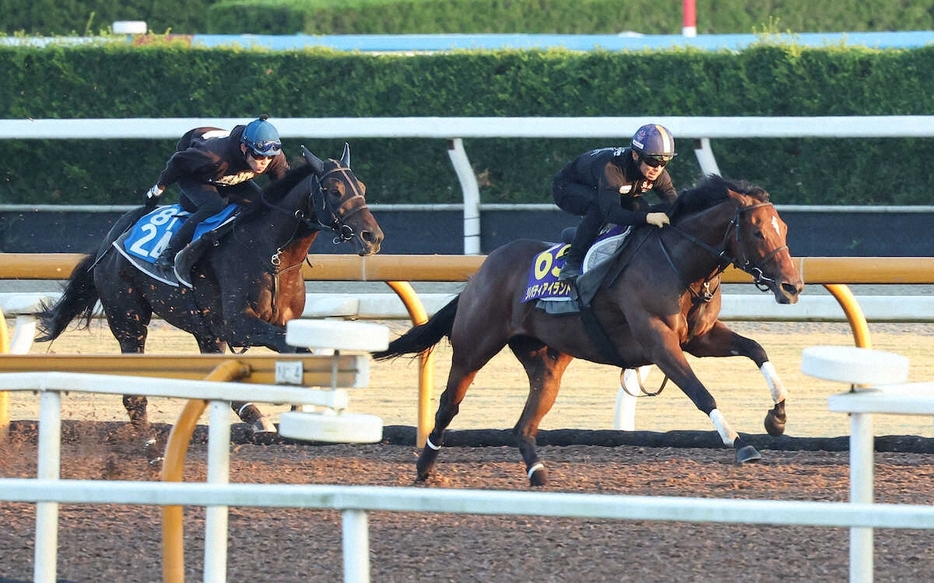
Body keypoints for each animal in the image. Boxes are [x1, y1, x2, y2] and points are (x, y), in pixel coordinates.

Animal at [36, 145, 380, 438]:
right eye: (334, 190)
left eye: (362, 188)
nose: (372, 236)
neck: (271, 251)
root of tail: (111, 238)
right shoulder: (240, 325)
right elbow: (295, 351)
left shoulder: (275, 323)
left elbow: (295, 352)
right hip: (128, 318)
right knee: (133, 389)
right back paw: (149, 442)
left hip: (205, 328)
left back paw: (253, 415)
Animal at [376, 175, 808, 488]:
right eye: (758, 232)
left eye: (785, 229)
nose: (792, 286)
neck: (679, 262)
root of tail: (482, 270)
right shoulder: (659, 343)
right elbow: (701, 392)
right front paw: (741, 444)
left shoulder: (699, 339)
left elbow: (756, 349)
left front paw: (778, 416)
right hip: (475, 345)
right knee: (449, 405)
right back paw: (425, 465)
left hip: (547, 362)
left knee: (524, 424)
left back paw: (537, 472)